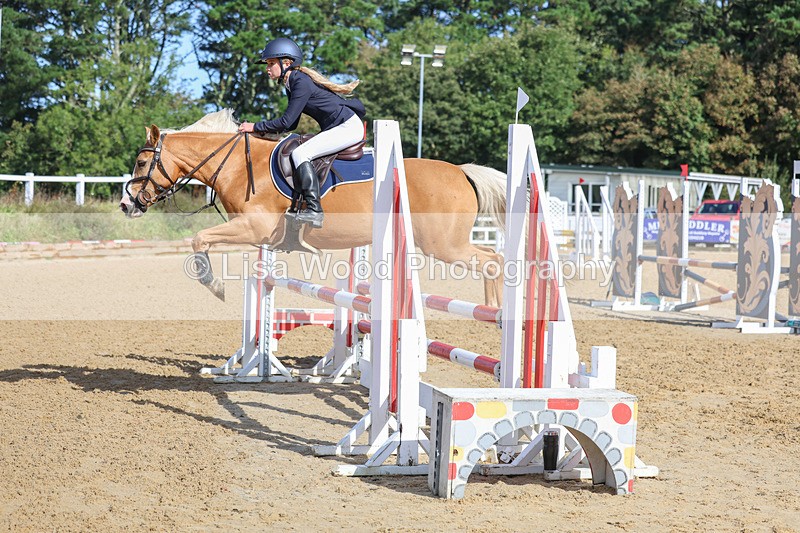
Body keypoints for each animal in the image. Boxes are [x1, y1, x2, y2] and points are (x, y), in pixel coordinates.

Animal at [120, 110, 507, 306]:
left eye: (141, 163)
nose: (126, 205)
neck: (238, 166)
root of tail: (461, 172)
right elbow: (203, 240)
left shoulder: (254, 228)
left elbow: (199, 238)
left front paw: (214, 286)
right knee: (492, 258)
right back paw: (492, 312)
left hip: (442, 245)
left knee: (493, 261)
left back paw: (497, 317)